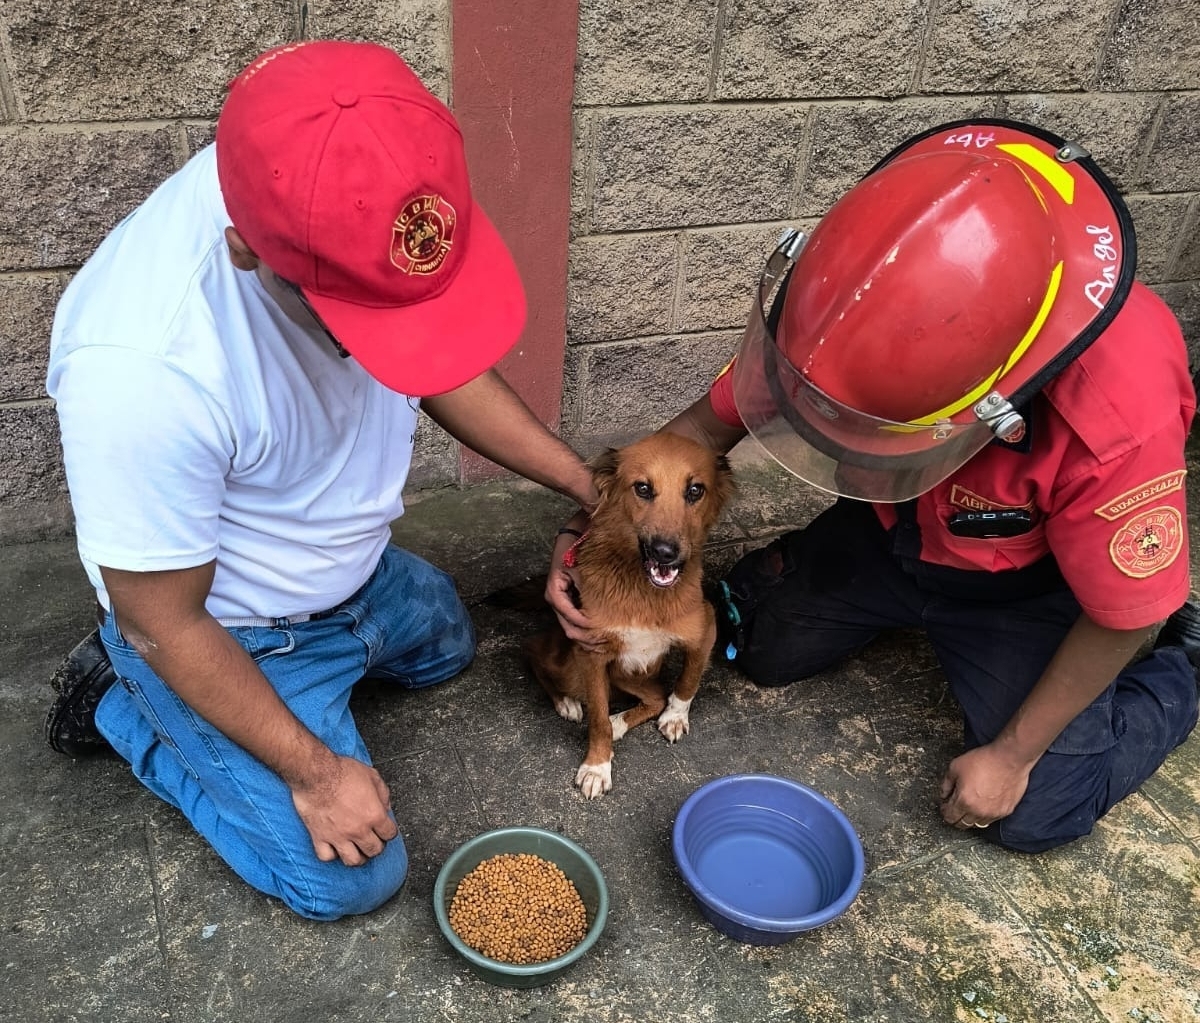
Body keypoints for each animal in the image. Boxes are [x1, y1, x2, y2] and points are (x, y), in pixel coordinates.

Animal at [523, 432, 729, 797]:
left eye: (695, 490)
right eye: (643, 488)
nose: (665, 552)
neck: (644, 591)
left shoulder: (705, 627)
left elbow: (688, 680)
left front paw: (675, 716)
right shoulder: (590, 653)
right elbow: (597, 719)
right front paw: (597, 766)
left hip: (629, 673)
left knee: (656, 695)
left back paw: (620, 721)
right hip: (570, 665)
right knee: (532, 650)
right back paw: (566, 702)